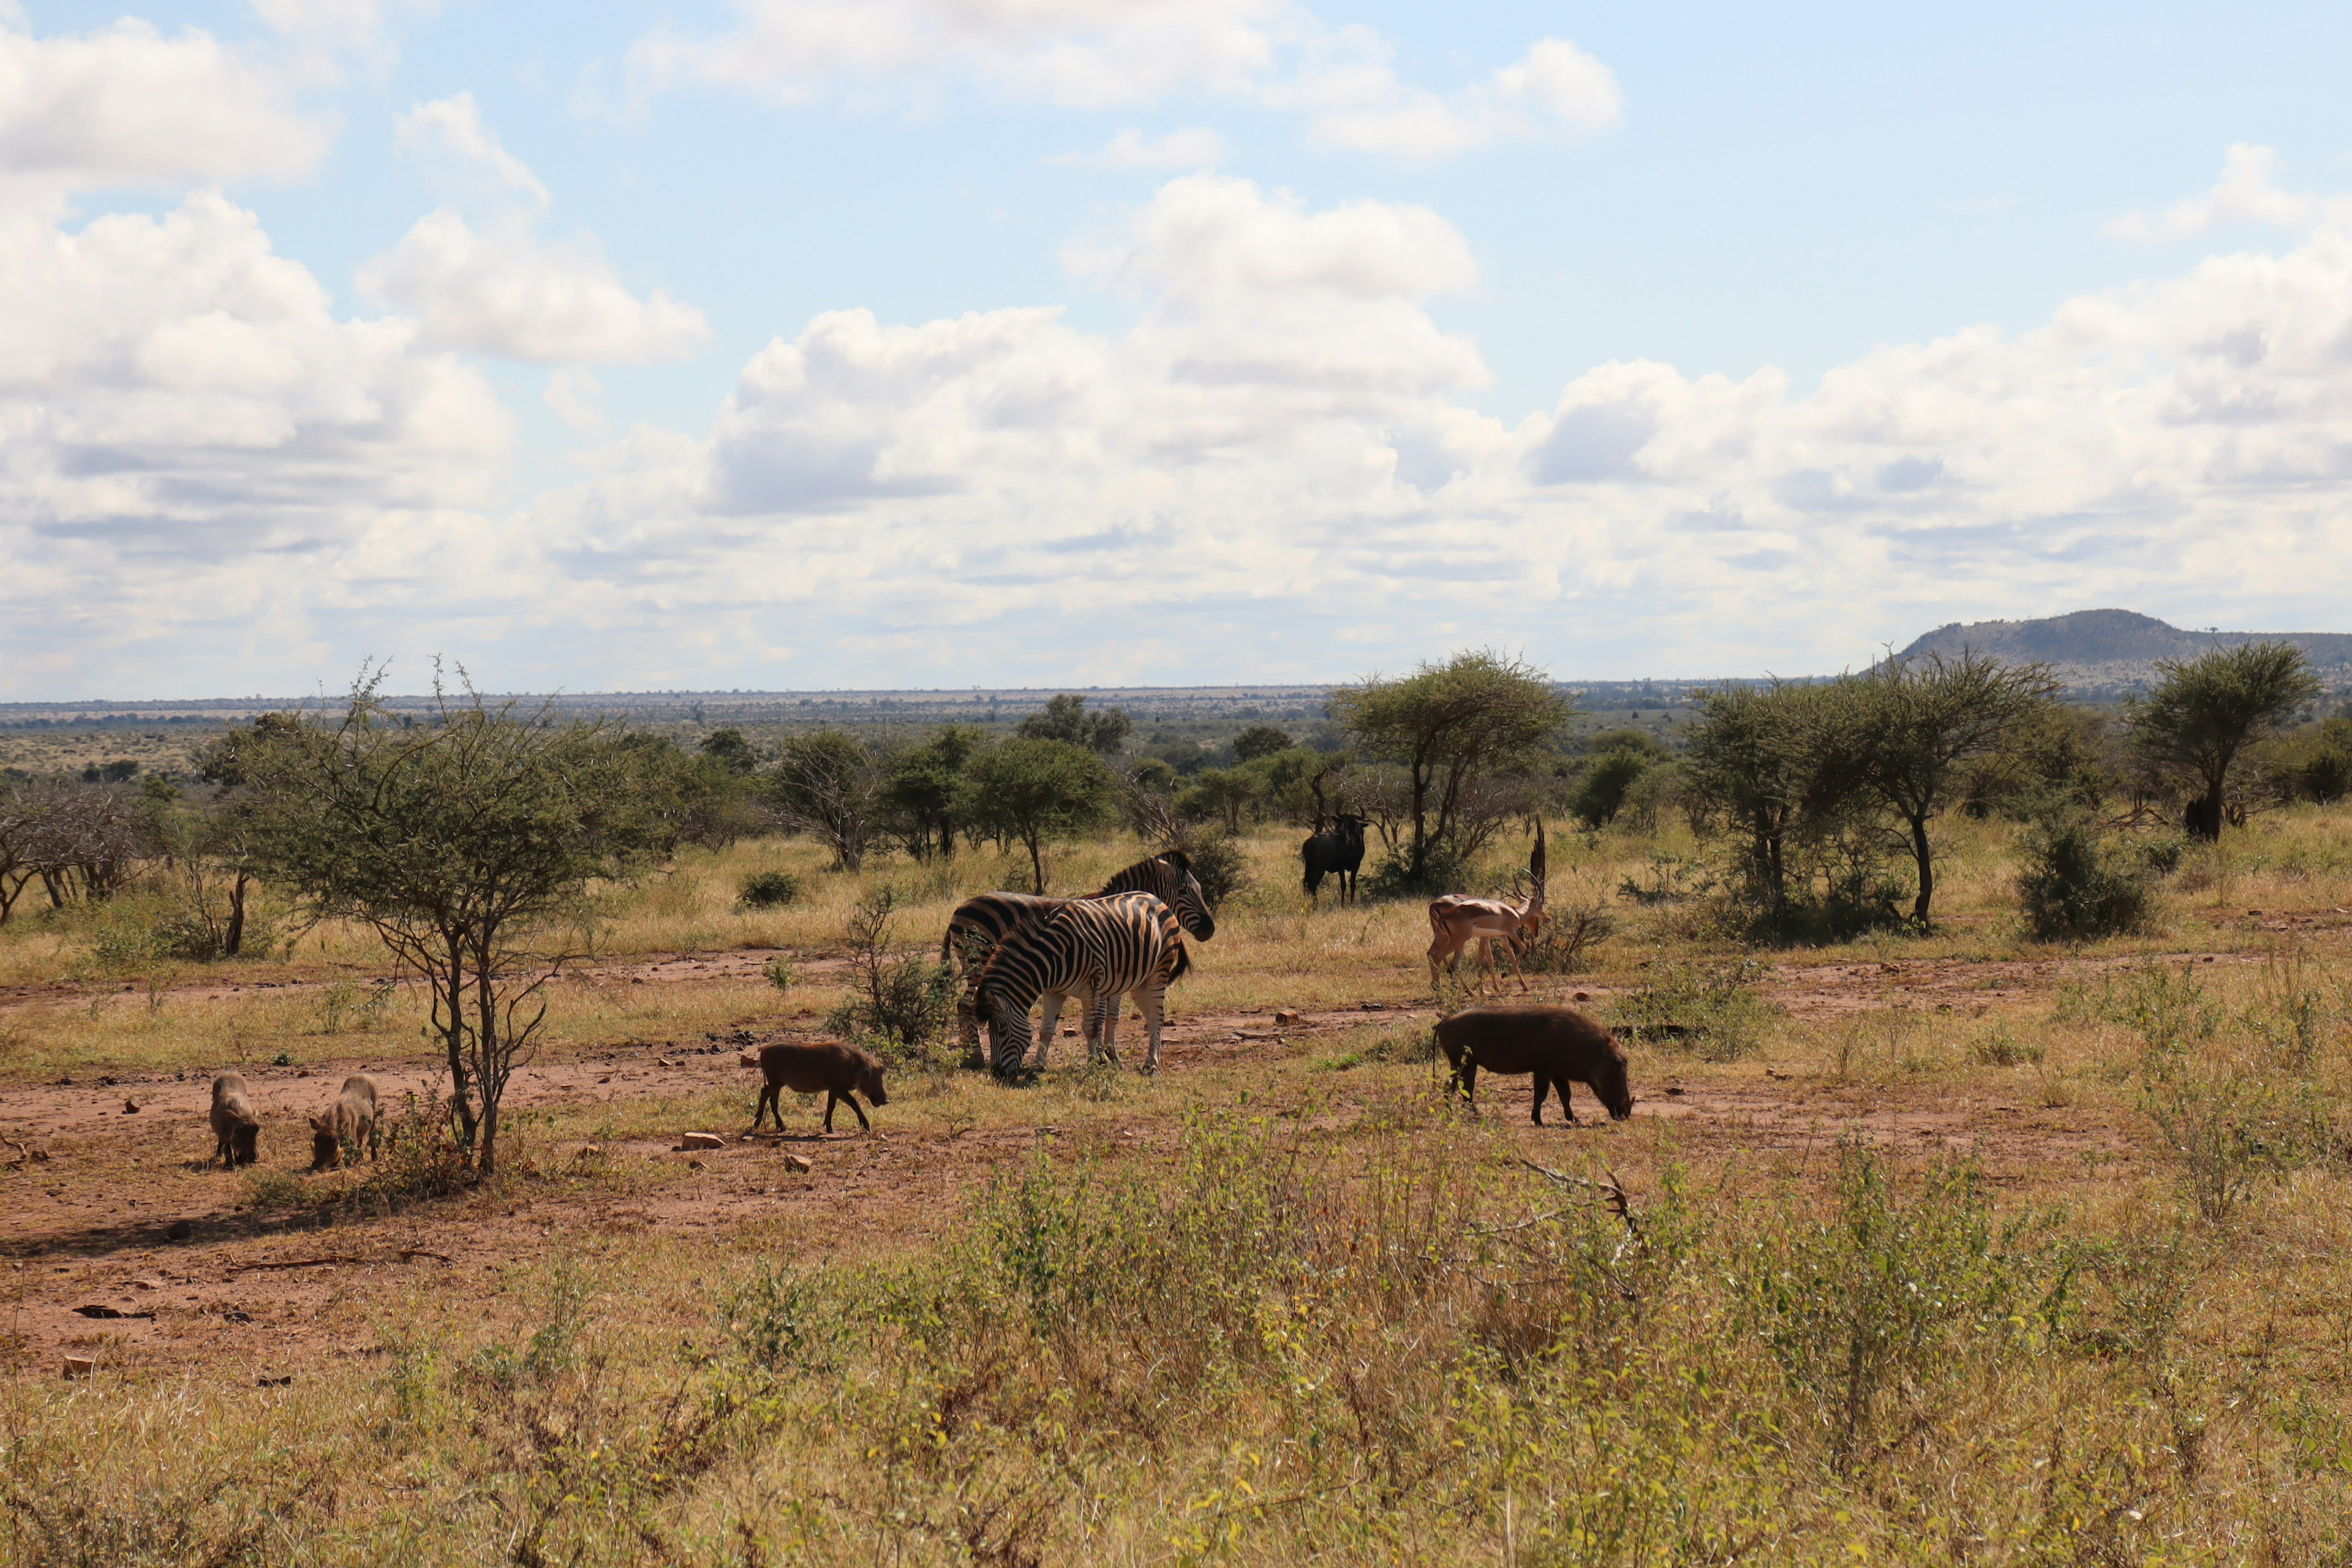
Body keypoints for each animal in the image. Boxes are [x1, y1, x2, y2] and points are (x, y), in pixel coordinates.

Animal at [941, 851, 1223, 1062]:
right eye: (1184, 890)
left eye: (1199, 888)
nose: (1210, 930)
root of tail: (960, 908)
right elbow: (1101, 1016)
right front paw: (1102, 1055)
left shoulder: (1119, 973)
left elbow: (1112, 1016)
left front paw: (1112, 1055)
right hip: (978, 961)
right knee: (965, 1005)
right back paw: (976, 1057)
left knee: (965, 1005)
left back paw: (970, 1055)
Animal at [973, 893, 1194, 1081]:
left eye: (1002, 1031)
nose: (997, 1074)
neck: (1054, 957)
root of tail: (1156, 898)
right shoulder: (1053, 992)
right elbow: (1046, 1030)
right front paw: (1036, 1068)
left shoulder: (1090, 987)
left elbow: (1090, 1028)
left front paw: (1096, 1063)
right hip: (1140, 983)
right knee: (1151, 1018)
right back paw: (1153, 1059)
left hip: (1159, 972)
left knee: (1157, 1017)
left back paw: (1153, 1066)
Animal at [1420, 827, 1552, 987]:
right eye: (1541, 904)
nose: (1548, 919)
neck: (1513, 911)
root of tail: (1435, 907)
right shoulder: (1508, 931)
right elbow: (1521, 949)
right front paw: (1505, 977)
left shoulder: (1498, 936)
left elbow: (1498, 957)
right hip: (1457, 939)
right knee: (1441, 957)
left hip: (1442, 935)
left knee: (1432, 954)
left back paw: (1439, 986)